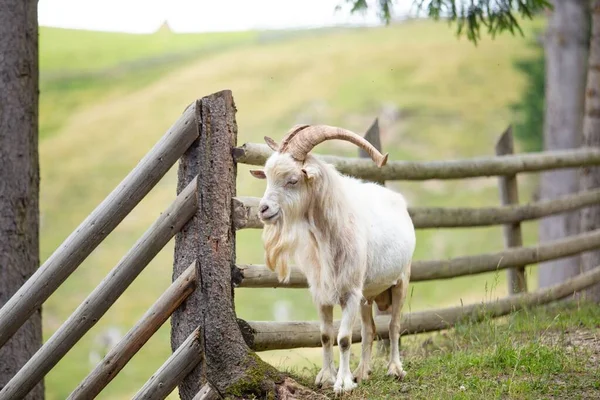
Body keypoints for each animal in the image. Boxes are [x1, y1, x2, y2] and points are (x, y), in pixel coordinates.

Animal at [251, 126, 414, 394]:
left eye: (292, 180)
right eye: (267, 177)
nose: (263, 210)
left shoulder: (350, 293)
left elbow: (344, 338)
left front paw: (343, 383)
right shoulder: (321, 292)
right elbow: (326, 335)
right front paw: (327, 377)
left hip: (401, 280)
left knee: (393, 326)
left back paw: (394, 369)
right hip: (366, 294)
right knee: (369, 329)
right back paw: (363, 372)